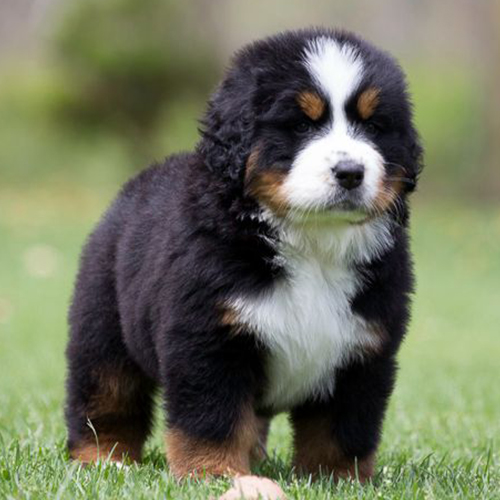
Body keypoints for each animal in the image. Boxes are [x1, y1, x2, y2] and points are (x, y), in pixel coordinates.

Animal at [65, 28, 422, 484]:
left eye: (374, 126)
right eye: (300, 124)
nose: (350, 172)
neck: (314, 244)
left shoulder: (364, 349)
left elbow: (343, 427)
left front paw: (337, 479)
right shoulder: (208, 337)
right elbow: (211, 417)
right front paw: (212, 473)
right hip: (104, 327)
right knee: (105, 396)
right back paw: (102, 459)